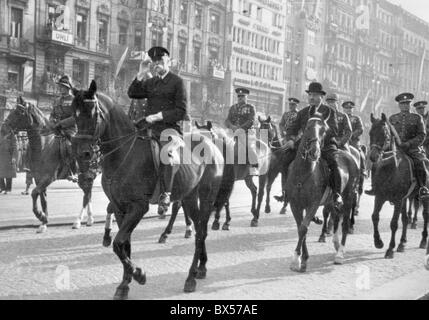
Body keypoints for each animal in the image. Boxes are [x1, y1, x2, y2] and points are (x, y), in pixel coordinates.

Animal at [2, 97, 96, 232]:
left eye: (19, 112)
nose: (3, 128)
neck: (44, 144)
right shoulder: (39, 178)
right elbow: (42, 198)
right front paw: (44, 222)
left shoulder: (48, 177)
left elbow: (34, 193)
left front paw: (41, 216)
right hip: (84, 176)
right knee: (88, 193)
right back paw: (89, 219)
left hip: (87, 174)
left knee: (87, 195)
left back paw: (78, 221)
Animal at [72, 80, 234, 300]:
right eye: (74, 113)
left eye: (92, 113)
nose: (83, 154)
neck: (125, 153)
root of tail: (213, 143)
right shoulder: (119, 207)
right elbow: (124, 245)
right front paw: (125, 284)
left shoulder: (138, 207)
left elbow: (118, 243)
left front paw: (139, 274)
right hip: (190, 197)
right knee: (200, 229)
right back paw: (201, 267)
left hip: (207, 196)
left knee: (201, 231)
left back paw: (190, 277)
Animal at [286, 106, 360, 272]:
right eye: (307, 127)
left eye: (324, 131)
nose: (314, 152)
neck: (304, 172)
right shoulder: (295, 205)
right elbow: (301, 227)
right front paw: (302, 258)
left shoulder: (313, 204)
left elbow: (304, 228)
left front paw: (297, 259)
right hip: (333, 201)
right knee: (336, 217)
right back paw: (336, 243)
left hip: (348, 197)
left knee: (345, 223)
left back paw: (340, 254)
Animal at [366, 114, 426, 258]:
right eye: (370, 133)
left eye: (385, 134)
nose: (373, 157)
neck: (391, 168)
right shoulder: (380, 197)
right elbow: (375, 217)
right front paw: (378, 242)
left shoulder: (398, 200)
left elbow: (394, 223)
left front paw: (390, 249)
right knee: (405, 218)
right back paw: (402, 243)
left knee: (425, 215)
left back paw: (423, 240)